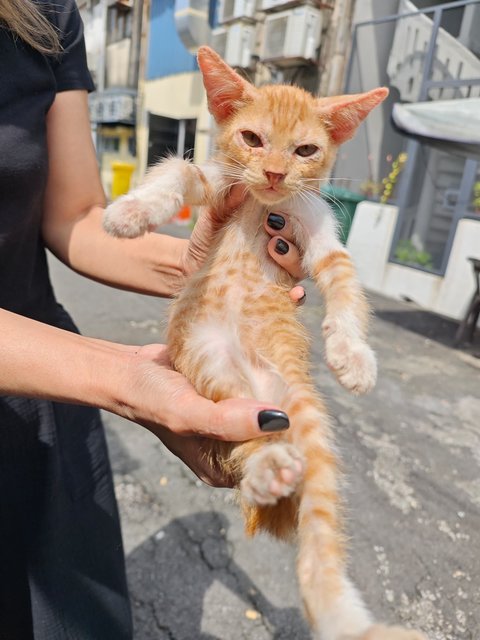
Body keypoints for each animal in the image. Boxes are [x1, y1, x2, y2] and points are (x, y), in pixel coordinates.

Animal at [103, 46, 426, 640]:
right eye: (252, 138)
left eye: (305, 150)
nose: (275, 173)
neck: (260, 203)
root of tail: (266, 388)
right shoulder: (216, 182)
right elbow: (177, 170)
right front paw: (130, 211)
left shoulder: (320, 233)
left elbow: (346, 286)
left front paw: (353, 355)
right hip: (218, 380)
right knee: (246, 443)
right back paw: (266, 473)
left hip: (308, 425)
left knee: (318, 535)